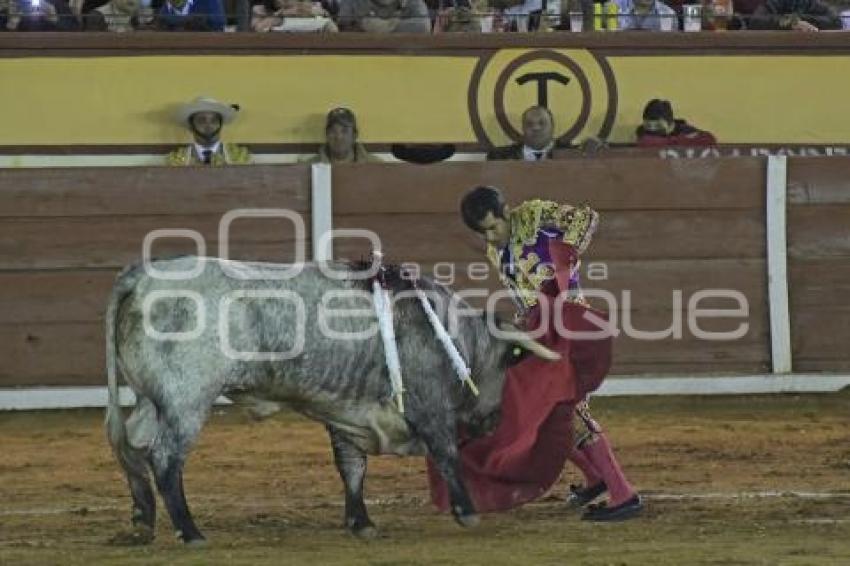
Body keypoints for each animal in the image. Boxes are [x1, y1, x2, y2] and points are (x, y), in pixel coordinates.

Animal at [104, 258, 556, 544]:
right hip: (187, 401)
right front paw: (467, 511)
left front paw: (361, 522)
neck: (453, 335)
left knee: (130, 444)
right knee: (165, 457)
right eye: (509, 363)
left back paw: (142, 520)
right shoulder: (430, 405)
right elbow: (446, 454)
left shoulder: (346, 411)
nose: (493, 421)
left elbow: (351, 467)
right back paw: (190, 531)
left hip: (152, 399)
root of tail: (139, 278)